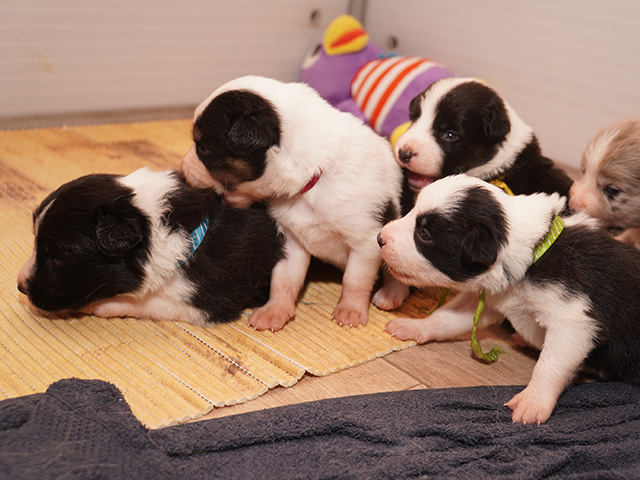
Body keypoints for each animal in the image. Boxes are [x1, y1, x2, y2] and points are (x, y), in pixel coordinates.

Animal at [180, 75, 411, 331]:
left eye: (204, 148)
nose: (182, 169)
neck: (311, 182)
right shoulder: (290, 237)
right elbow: (283, 277)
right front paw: (274, 311)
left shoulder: (366, 238)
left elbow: (355, 279)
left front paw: (350, 310)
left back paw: (391, 294)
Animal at [378, 174, 640, 424]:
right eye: (412, 211)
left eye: (424, 234)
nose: (380, 237)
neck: (534, 254)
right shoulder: (489, 297)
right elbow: (444, 317)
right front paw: (413, 326)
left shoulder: (573, 320)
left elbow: (549, 365)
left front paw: (533, 401)